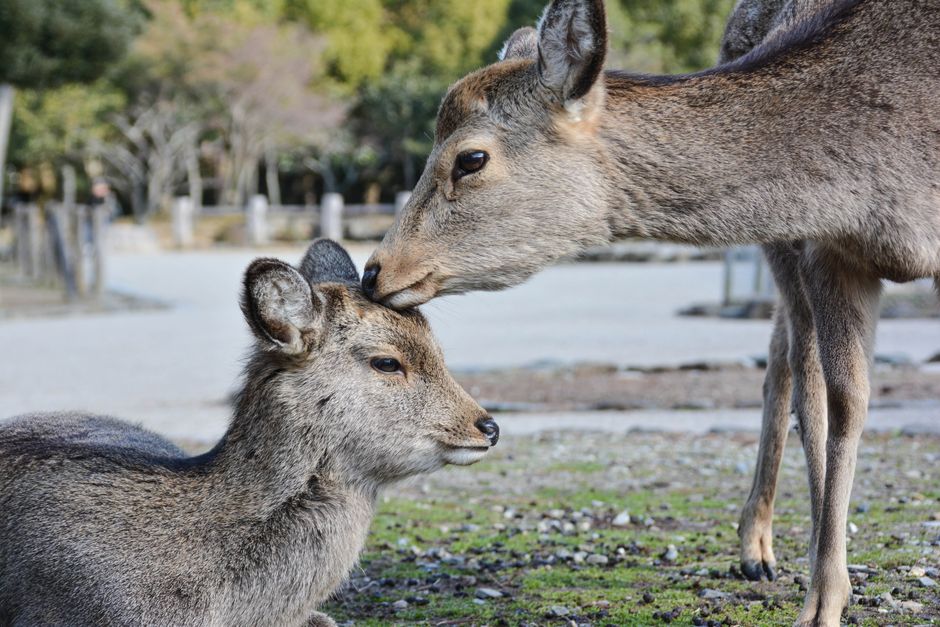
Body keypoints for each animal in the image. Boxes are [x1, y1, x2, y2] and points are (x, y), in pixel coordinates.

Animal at [360, 0, 940, 624]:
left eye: (471, 158)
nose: (374, 271)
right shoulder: (826, 246)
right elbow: (839, 403)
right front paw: (824, 598)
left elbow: (843, 404)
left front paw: (825, 594)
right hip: (782, 243)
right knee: (789, 361)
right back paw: (757, 548)